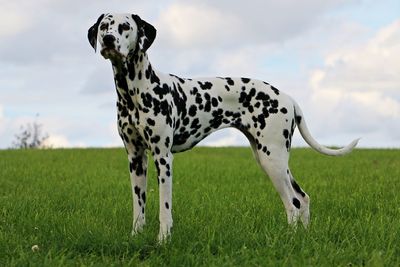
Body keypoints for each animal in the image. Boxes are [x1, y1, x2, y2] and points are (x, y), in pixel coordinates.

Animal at [87, 13, 360, 243]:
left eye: (125, 27)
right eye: (104, 26)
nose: (108, 39)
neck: (135, 90)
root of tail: (289, 98)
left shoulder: (162, 158)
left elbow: (164, 208)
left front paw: (163, 240)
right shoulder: (136, 158)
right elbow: (138, 205)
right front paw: (136, 236)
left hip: (273, 158)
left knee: (292, 203)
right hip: (270, 159)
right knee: (302, 198)